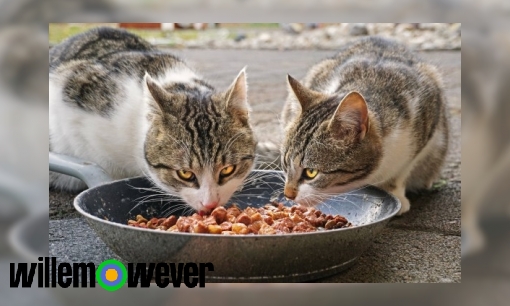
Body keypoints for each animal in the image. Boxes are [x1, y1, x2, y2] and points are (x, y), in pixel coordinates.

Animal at [280, 36, 448, 215]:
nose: (288, 194)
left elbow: (401, 171)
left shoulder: (427, 117)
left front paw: (394, 193)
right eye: (285, 164)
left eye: (311, 172)